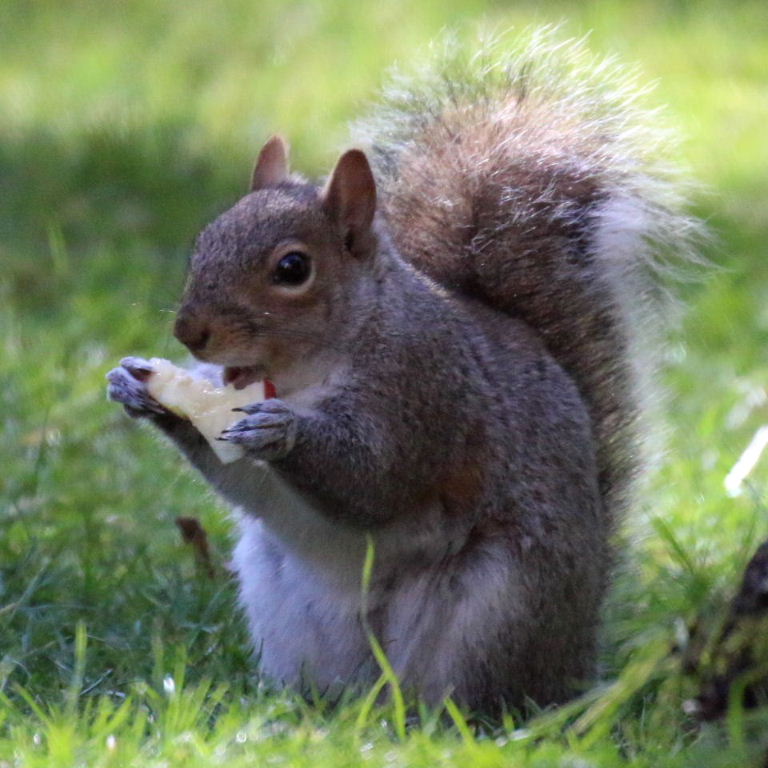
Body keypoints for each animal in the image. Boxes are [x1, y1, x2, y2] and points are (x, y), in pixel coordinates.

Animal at [107, 32, 699, 712]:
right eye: (203, 243)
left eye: (292, 268)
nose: (189, 333)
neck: (308, 369)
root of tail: (573, 665)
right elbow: (245, 483)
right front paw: (140, 390)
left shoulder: (426, 387)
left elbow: (377, 479)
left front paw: (282, 433)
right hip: (285, 603)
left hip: (494, 608)